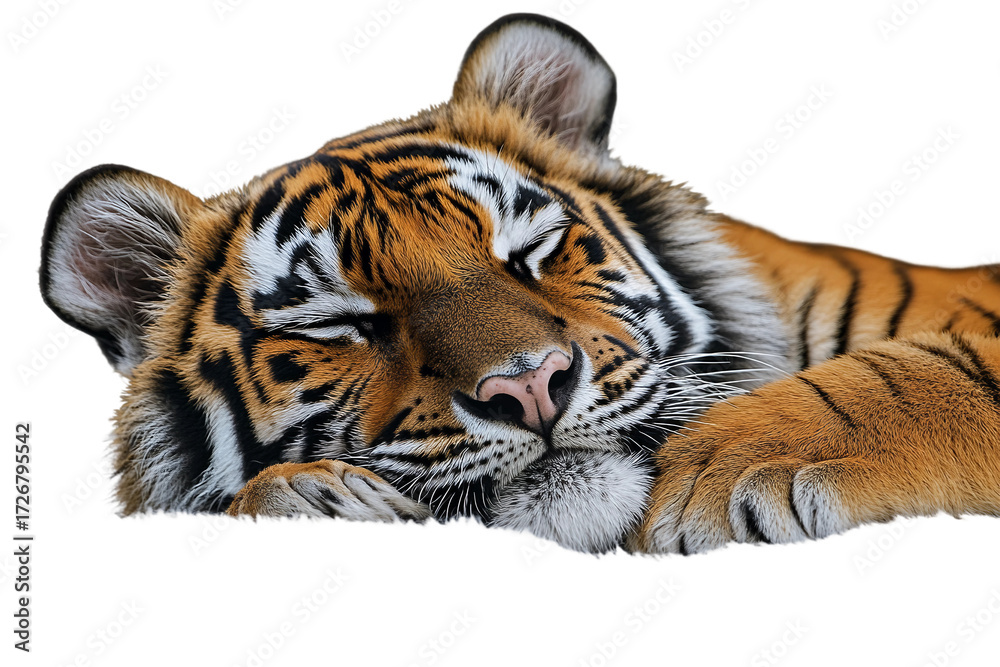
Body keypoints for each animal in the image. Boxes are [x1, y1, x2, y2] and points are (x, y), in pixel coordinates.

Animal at [39, 13, 1000, 555]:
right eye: (337, 324)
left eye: (529, 251)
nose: (531, 385)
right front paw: (308, 496)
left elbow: (927, 371)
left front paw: (728, 465)